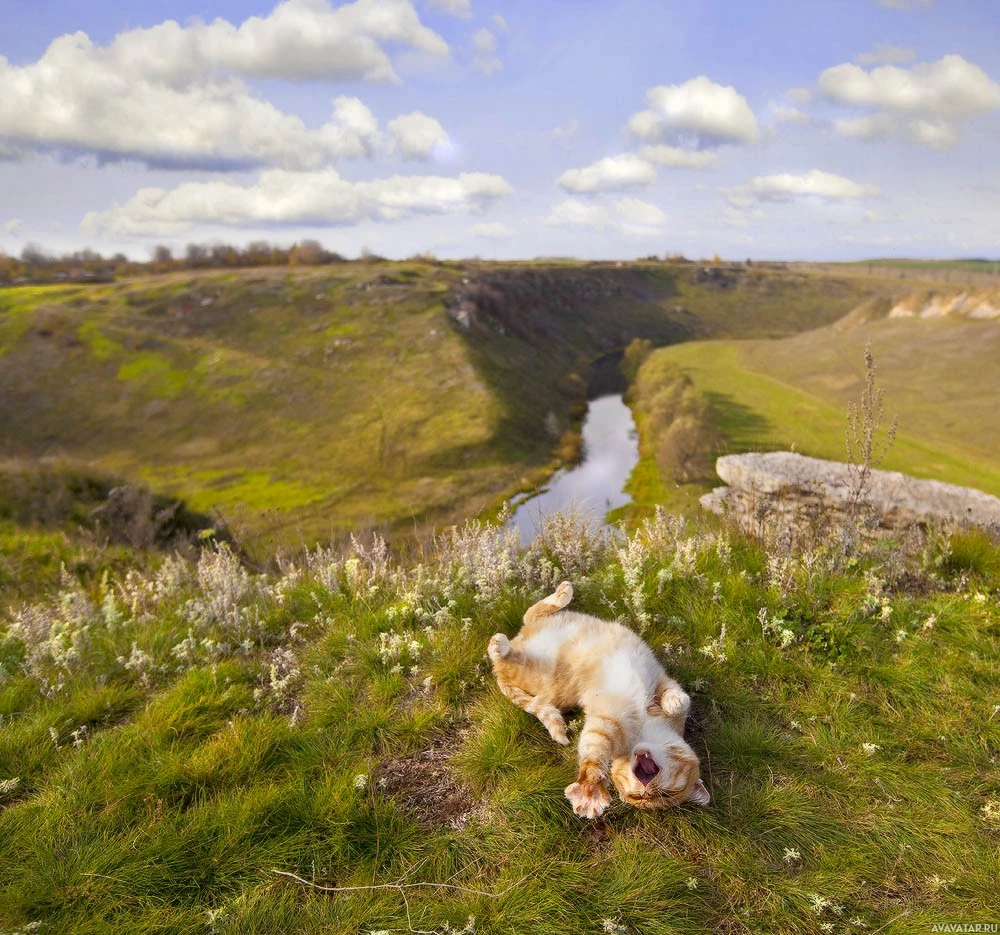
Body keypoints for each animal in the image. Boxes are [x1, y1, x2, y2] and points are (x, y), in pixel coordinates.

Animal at [486, 580, 708, 824]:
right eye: (637, 796)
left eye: (665, 796)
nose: (646, 792)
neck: (645, 725)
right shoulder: (654, 682)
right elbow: (677, 695)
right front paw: (589, 791)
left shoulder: (610, 721)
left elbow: (595, 745)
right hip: (538, 661)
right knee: (523, 624)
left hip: (538, 671)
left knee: (521, 634)